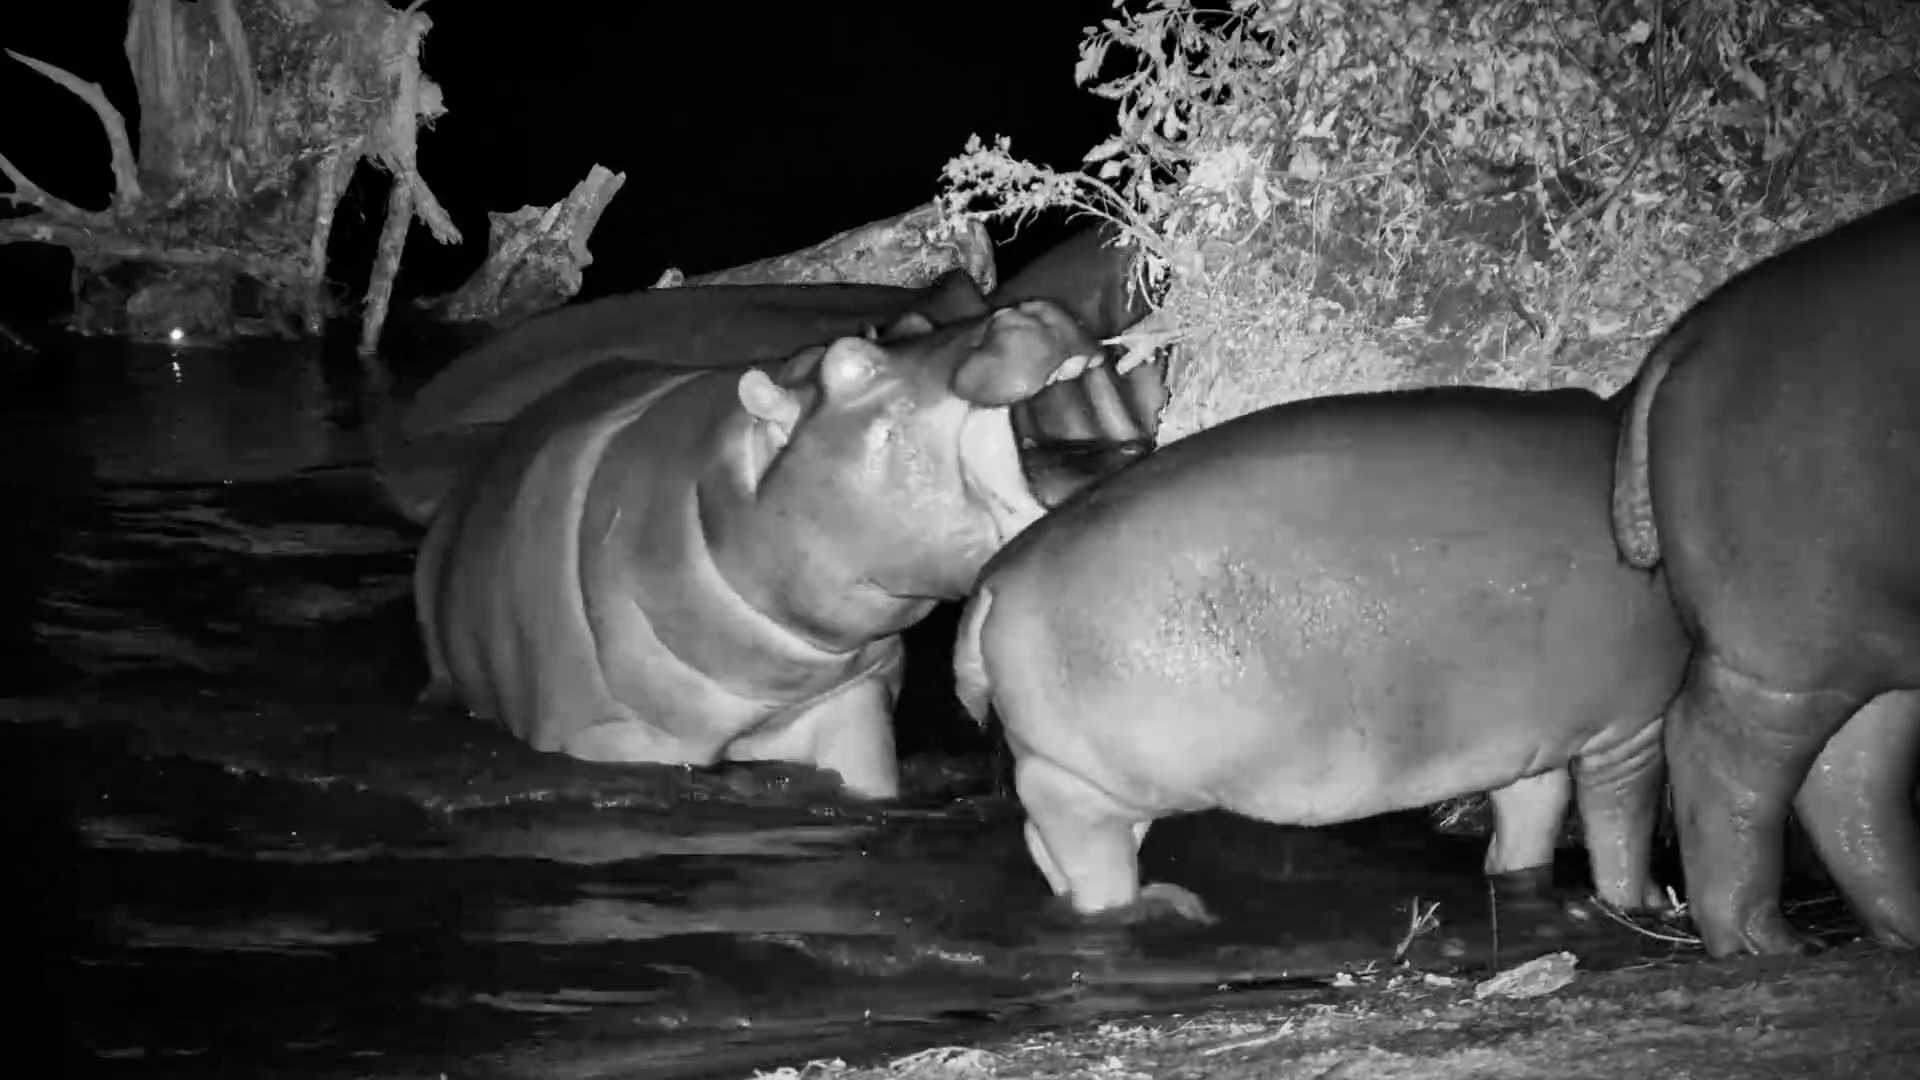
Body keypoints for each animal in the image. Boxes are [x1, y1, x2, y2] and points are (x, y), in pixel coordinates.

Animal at [953, 386, 1688, 921]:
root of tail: (994, 581)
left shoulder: (1533, 733)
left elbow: (1533, 808)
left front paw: (1516, 879)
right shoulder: (1635, 724)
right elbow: (1621, 820)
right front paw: (1645, 904)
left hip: (1089, 767)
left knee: (1047, 840)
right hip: (1090, 778)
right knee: (1082, 845)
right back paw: (1146, 906)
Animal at [1612, 194, 1920, 956]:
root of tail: (1685, 340)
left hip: (1869, 638)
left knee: (1852, 776)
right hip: (1793, 639)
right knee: (1722, 752)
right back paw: (1769, 944)